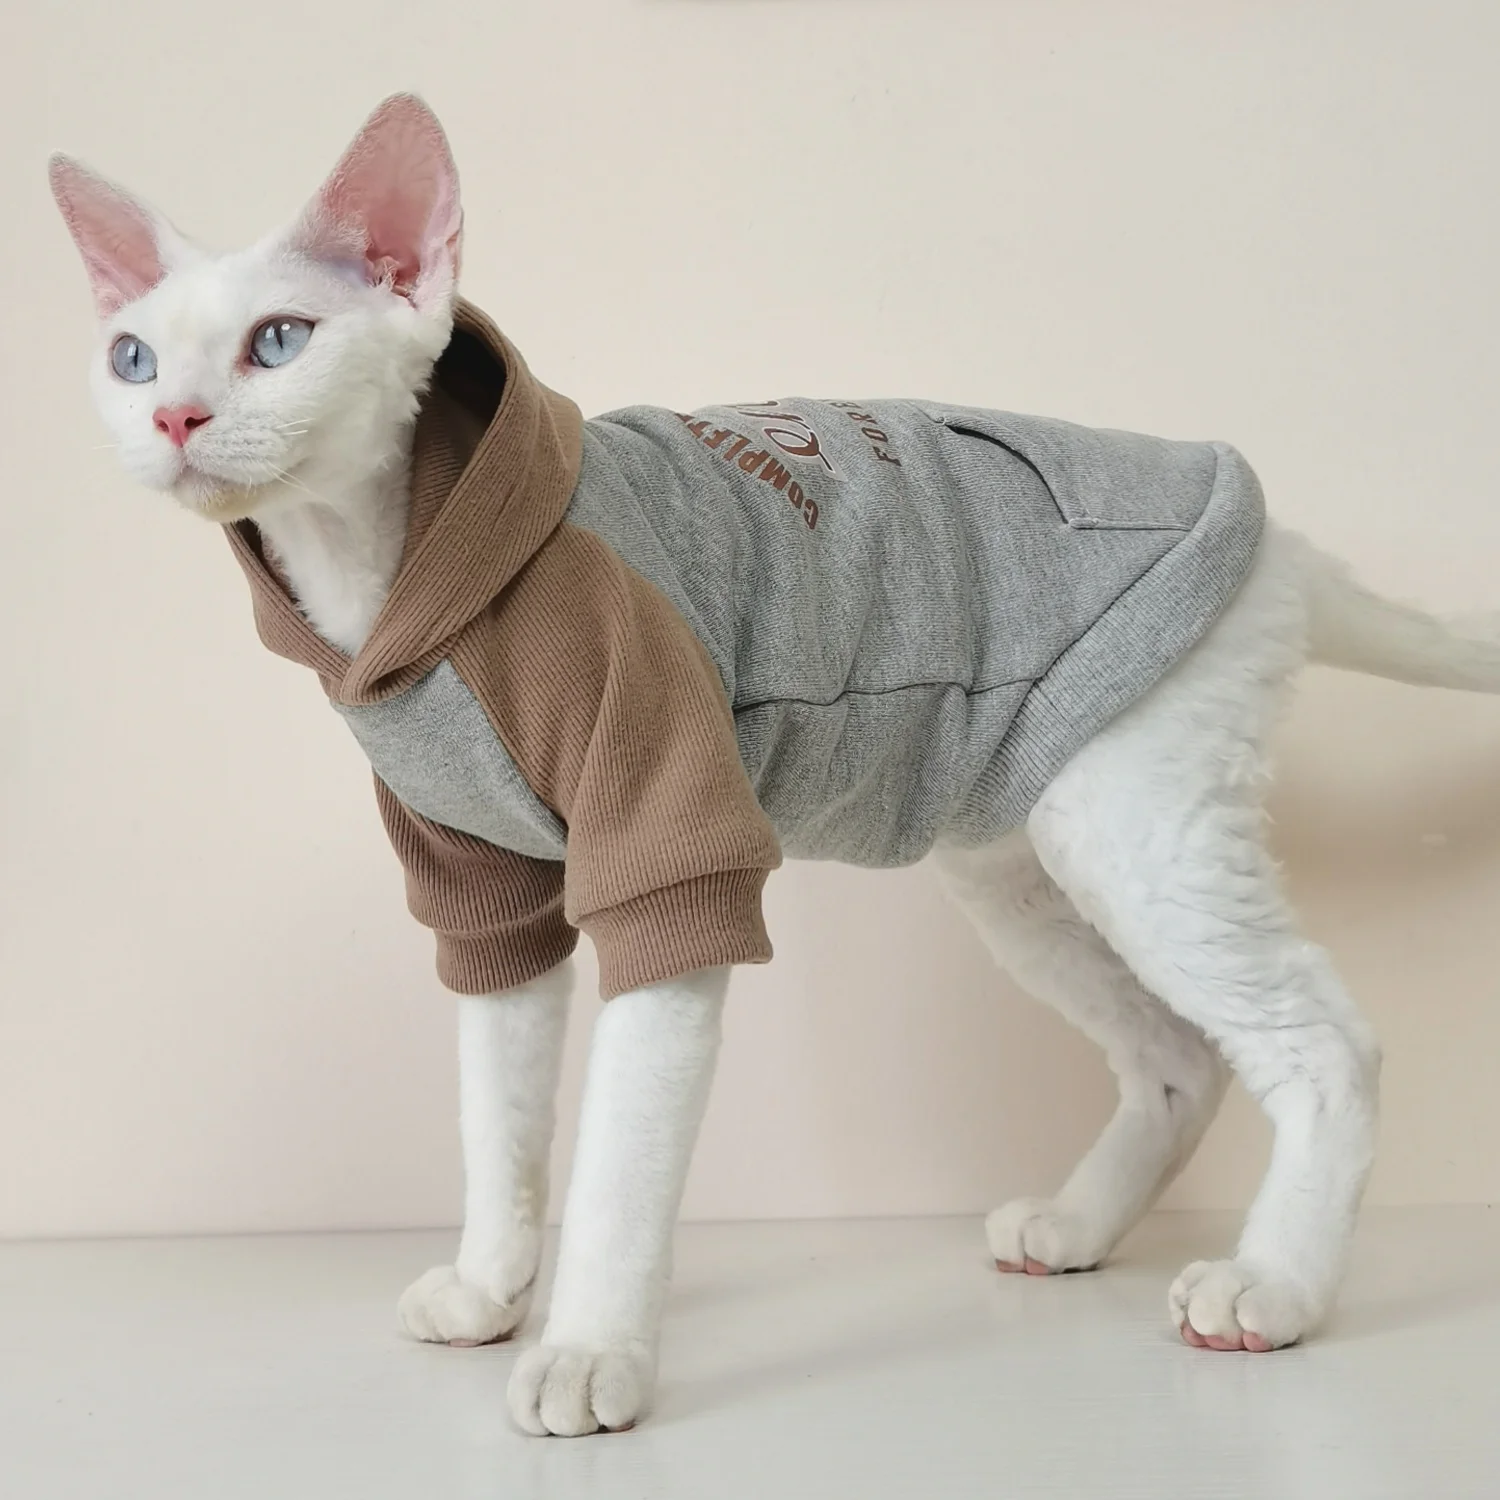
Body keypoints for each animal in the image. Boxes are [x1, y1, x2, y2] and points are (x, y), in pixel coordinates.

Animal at [48, 93, 1500, 1438]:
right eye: (130, 356)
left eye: (279, 341)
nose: (173, 416)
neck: (395, 590)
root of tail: (1283, 546)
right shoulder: (489, 893)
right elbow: (497, 1124)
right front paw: (492, 1286)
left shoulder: (667, 851)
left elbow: (617, 1166)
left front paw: (588, 1354)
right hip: (1022, 864)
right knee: (1178, 1055)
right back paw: (1082, 1226)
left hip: (1140, 827)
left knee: (1326, 1044)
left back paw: (1275, 1287)